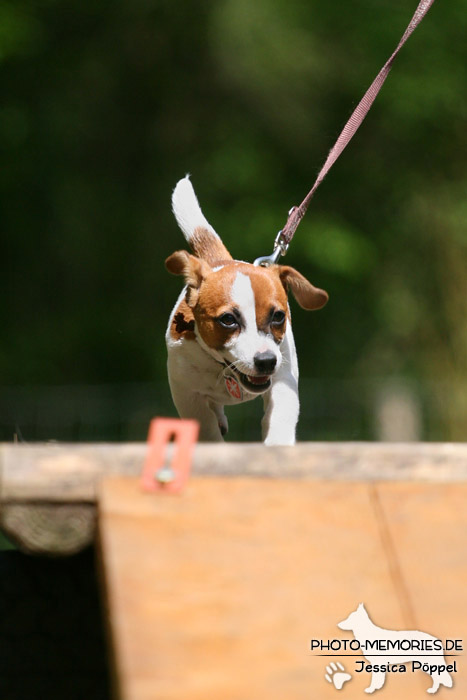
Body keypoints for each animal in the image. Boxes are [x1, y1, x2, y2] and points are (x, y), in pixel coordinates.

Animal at [165, 178, 330, 446]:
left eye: (278, 316)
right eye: (228, 320)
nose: (266, 361)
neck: (225, 369)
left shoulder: (283, 378)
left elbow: (280, 417)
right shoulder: (187, 394)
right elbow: (206, 428)